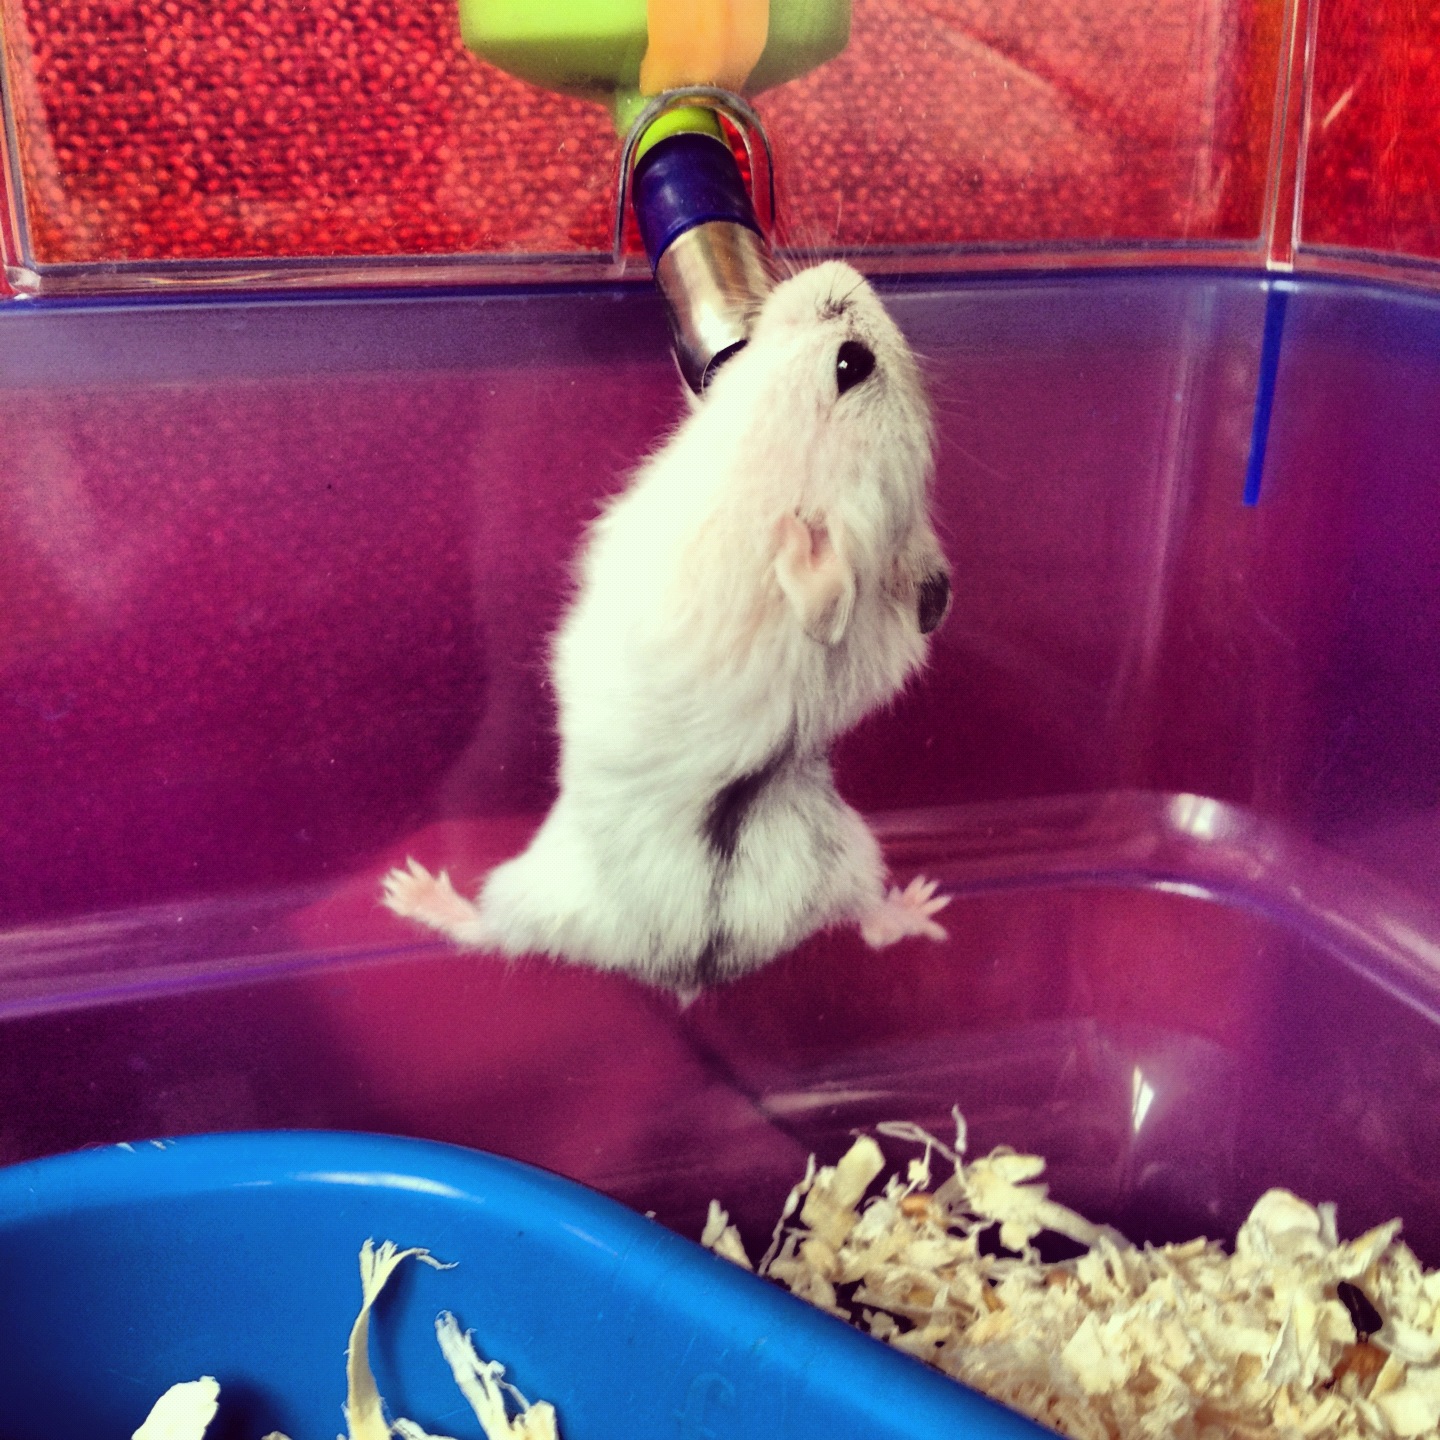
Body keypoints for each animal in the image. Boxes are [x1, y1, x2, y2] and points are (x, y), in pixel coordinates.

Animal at [383, 260, 952, 990]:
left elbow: (823, 595)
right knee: (867, 922)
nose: (843, 269)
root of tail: (695, 961)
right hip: (851, 858)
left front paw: (791, 535)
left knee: (490, 935)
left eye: (851, 363)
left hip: (532, 892)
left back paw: (411, 889)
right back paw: (923, 905)